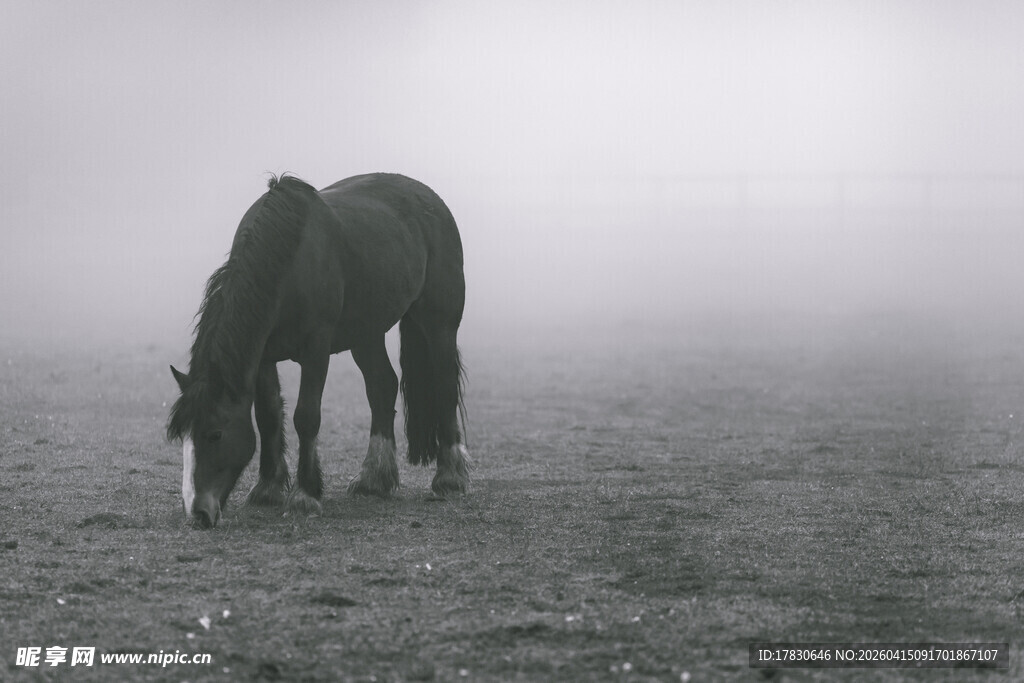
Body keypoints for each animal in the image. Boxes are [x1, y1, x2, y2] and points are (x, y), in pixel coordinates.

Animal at [166, 173, 469, 528]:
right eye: (183, 437)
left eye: (214, 434)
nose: (198, 512)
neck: (288, 262)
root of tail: (432, 200)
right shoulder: (263, 356)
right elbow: (268, 416)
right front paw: (267, 488)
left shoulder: (316, 350)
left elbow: (306, 416)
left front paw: (304, 495)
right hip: (366, 334)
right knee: (382, 386)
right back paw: (374, 479)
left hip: (439, 325)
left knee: (445, 386)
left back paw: (450, 477)